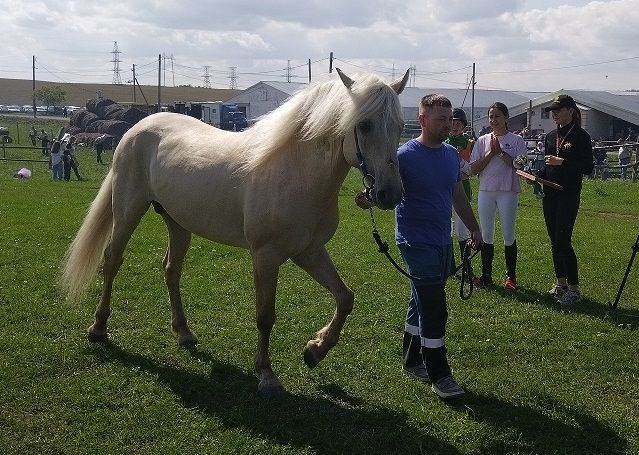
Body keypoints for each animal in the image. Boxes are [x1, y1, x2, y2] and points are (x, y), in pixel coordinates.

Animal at [61, 67, 410, 396]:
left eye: (398, 126)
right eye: (364, 125)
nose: (389, 194)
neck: (295, 173)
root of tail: (137, 129)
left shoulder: (308, 252)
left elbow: (345, 298)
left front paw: (315, 350)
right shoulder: (266, 257)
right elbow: (265, 316)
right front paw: (267, 376)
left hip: (179, 223)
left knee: (171, 270)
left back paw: (184, 333)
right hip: (128, 212)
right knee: (112, 261)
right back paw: (98, 328)